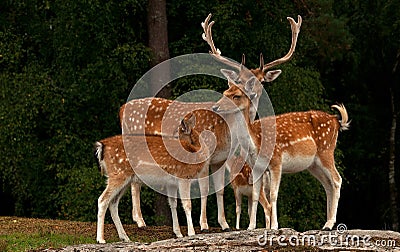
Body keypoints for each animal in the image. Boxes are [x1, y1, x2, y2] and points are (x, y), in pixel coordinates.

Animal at [94, 113, 209, 242]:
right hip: (118, 174)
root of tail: (102, 146)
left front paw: (178, 233)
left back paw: (125, 237)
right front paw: (191, 233)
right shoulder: (183, 176)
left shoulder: (172, 183)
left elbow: (173, 204)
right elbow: (187, 204)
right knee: (102, 200)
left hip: (125, 178)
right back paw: (101, 239)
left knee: (113, 203)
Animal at [120, 13, 302, 230]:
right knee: (134, 180)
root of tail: (122, 109)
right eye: (239, 81)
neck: (227, 131)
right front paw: (204, 224)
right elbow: (205, 188)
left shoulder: (221, 158)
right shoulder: (204, 151)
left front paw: (224, 224)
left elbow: (220, 189)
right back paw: (140, 220)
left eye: (260, 80)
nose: (252, 93)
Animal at [214, 74, 348, 230]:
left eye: (236, 95)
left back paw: (330, 223)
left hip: (326, 150)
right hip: (313, 165)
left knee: (337, 179)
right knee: (327, 184)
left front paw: (274, 226)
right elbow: (255, 195)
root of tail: (336, 121)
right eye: (225, 93)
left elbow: (273, 194)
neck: (256, 142)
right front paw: (251, 227)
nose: (215, 107)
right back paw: (326, 223)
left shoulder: (276, 162)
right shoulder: (256, 167)